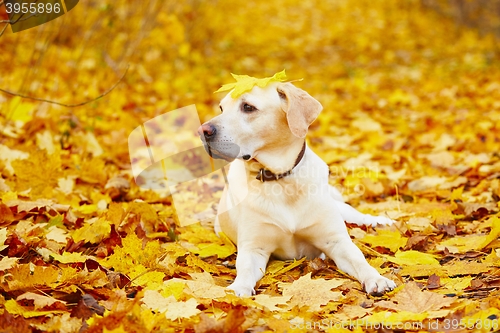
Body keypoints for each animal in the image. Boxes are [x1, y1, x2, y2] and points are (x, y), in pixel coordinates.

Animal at [197, 81, 396, 296]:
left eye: (248, 107)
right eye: (221, 108)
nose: (203, 131)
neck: (281, 179)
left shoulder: (336, 241)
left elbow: (360, 260)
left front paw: (377, 278)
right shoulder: (254, 247)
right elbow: (245, 269)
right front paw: (238, 289)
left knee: (360, 217)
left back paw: (382, 221)